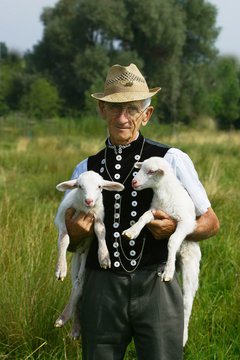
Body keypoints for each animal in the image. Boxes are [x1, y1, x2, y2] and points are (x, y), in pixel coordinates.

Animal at [54, 171, 124, 338]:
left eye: (99, 187)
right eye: (80, 186)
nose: (89, 200)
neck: (84, 209)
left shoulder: (97, 217)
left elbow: (101, 231)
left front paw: (104, 256)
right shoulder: (62, 219)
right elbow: (64, 240)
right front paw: (60, 269)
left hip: (84, 258)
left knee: (79, 285)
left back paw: (67, 320)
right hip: (77, 259)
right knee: (77, 285)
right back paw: (68, 322)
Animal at [123, 158, 202, 346]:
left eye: (151, 171)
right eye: (140, 168)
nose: (133, 182)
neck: (164, 193)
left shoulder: (185, 222)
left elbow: (172, 240)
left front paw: (168, 272)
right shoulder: (155, 211)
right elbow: (143, 216)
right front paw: (132, 232)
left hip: (190, 268)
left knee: (187, 304)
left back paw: (183, 337)